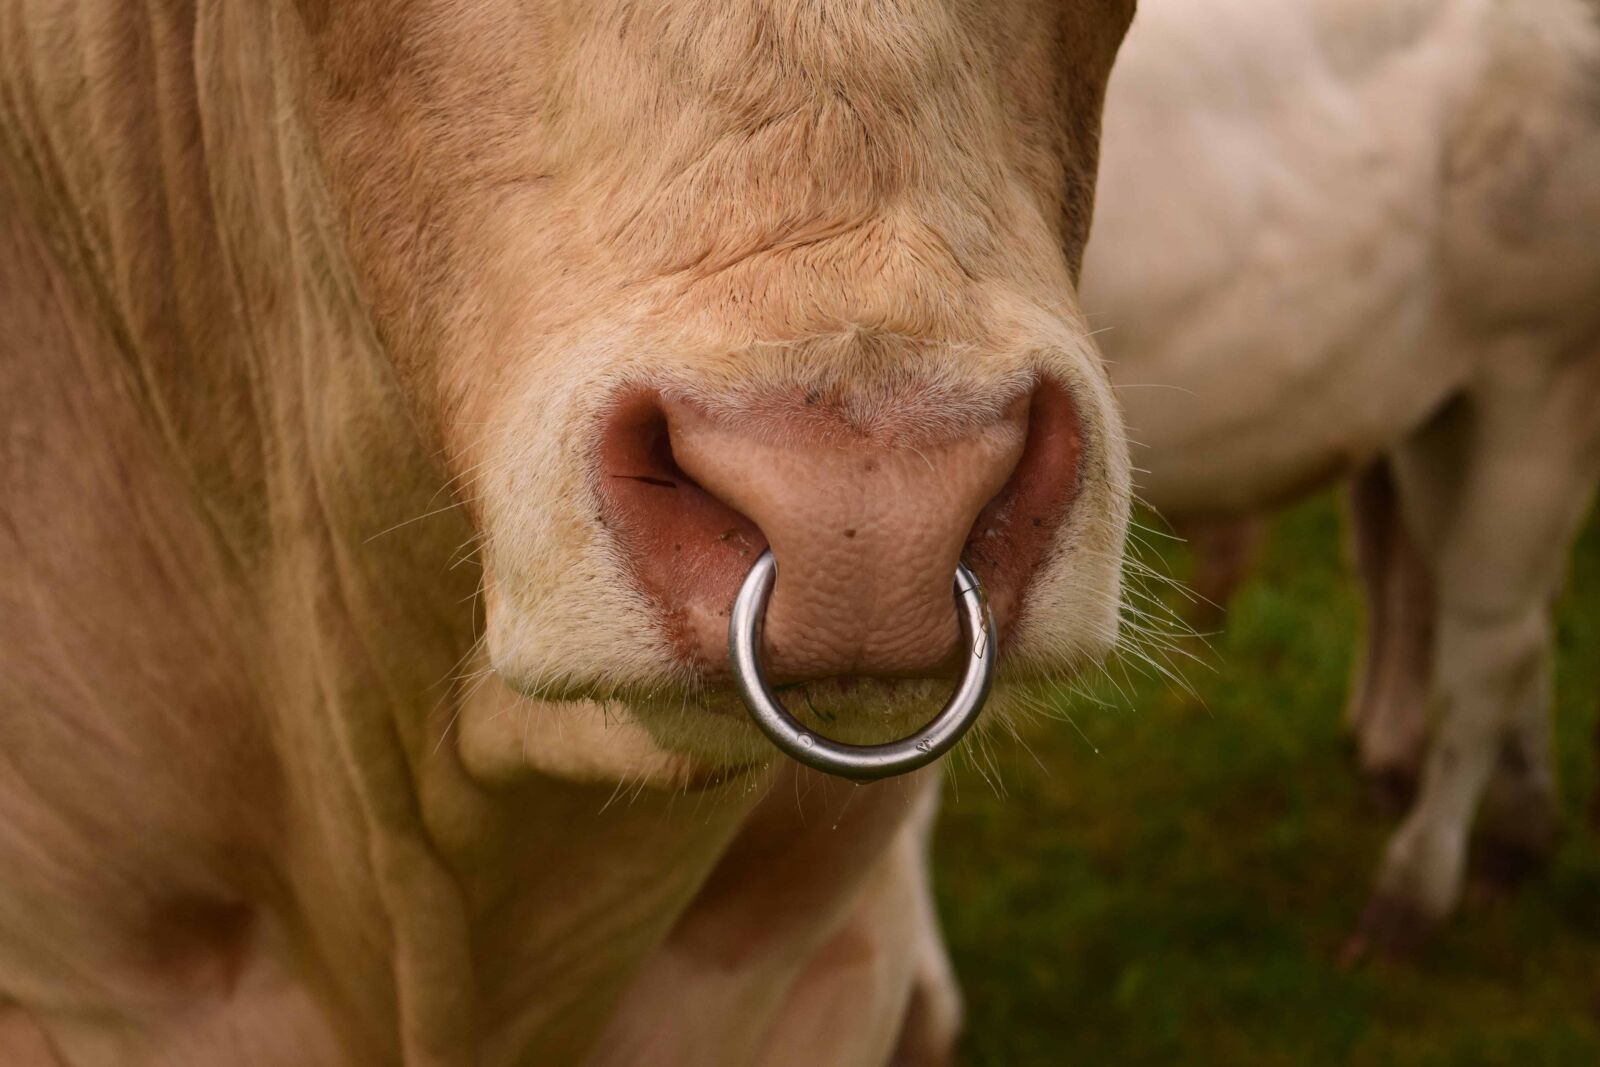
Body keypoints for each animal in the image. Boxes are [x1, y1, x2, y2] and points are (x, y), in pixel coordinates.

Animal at [1081, 0, 1600, 956]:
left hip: (1541, 372)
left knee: (1490, 638)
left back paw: (1413, 889)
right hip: (1437, 406)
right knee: (1502, 609)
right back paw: (1516, 834)